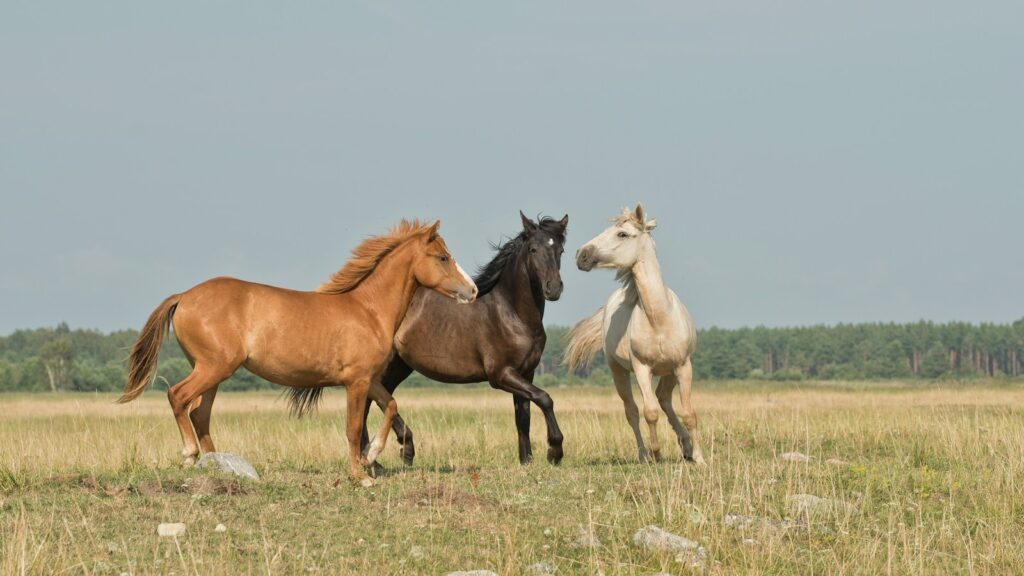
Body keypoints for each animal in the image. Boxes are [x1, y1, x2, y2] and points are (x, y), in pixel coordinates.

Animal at [118, 219, 478, 486]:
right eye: (442, 257)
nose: (472, 290)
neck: (368, 310)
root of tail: (185, 296)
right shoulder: (356, 382)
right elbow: (352, 428)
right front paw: (360, 475)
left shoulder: (369, 379)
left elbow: (390, 406)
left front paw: (372, 455)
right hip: (213, 367)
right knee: (178, 397)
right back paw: (190, 456)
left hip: (213, 372)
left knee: (199, 413)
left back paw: (218, 465)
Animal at [293, 212, 567, 466]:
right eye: (533, 249)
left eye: (560, 250)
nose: (553, 288)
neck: (511, 313)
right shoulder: (500, 375)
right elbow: (545, 399)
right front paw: (554, 451)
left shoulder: (525, 372)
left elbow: (523, 415)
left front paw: (527, 461)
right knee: (371, 403)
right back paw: (393, 452)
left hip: (398, 366)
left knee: (375, 401)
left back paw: (384, 455)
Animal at [565, 204, 705, 464]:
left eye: (622, 234)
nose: (581, 254)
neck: (659, 319)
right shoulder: (642, 368)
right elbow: (649, 412)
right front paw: (656, 454)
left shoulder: (683, 366)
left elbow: (689, 413)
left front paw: (699, 458)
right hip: (618, 371)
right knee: (632, 411)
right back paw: (644, 455)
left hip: (669, 372)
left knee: (664, 399)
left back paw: (686, 447)